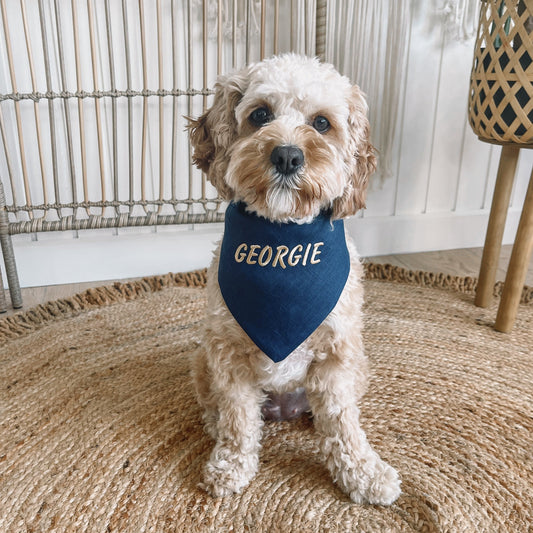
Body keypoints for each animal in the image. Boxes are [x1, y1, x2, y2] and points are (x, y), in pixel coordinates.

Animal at [187, 55, 400, 508]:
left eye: (322, 123)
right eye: (259, 115)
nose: (287, 156)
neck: (283, 245)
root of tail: (283, 409)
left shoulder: (337, 355)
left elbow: (342, 423)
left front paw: (363, 473)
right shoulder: (228, 354)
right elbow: (238, 418)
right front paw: (231, 463)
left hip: (359, 364)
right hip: (202, 359)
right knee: (221, 409)